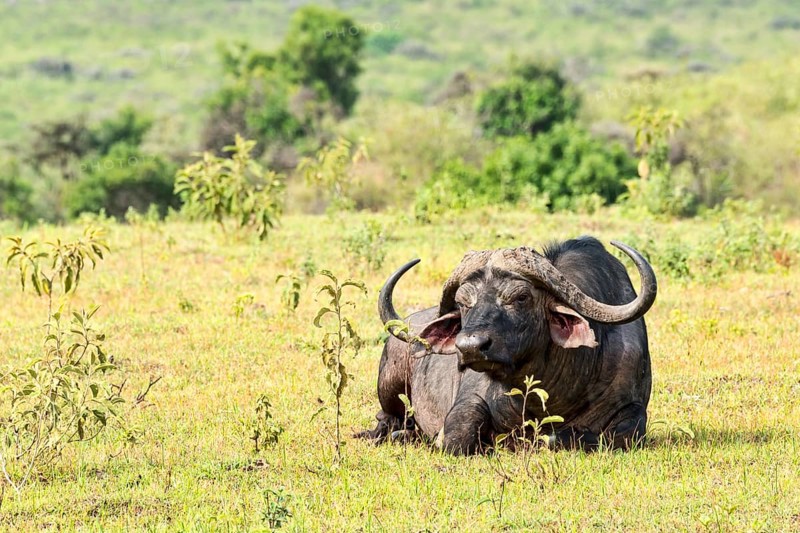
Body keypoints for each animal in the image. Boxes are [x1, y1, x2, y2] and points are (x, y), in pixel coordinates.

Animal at [357, 236, 657, 454]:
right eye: (463, 303)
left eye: (521, 297)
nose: (469, 346)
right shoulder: (468, 401)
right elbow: (456, 437)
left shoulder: (633, 412)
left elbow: (604, 436)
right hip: (389, 383)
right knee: (386, 418)